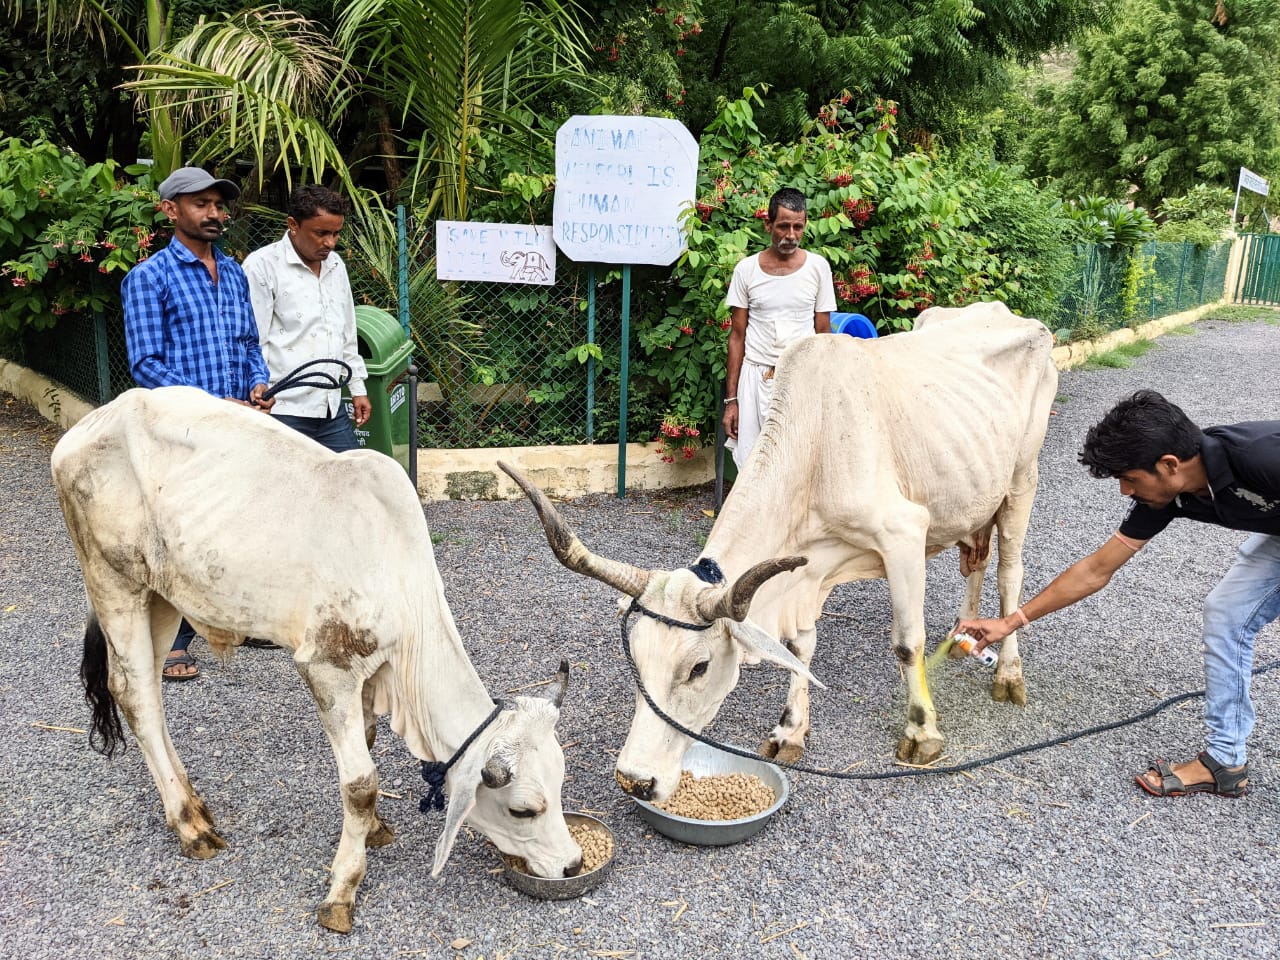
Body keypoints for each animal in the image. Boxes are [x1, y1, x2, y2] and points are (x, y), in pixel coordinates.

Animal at [51, 386, 581, 936]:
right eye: (523, 810)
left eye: (561, 783)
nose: (572, 864)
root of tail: (95, 420)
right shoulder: (328, 668)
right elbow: (361, 783)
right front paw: (343, 888)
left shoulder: (369, 675)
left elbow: (367, 744)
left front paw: (374, 829)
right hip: (114, 583)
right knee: (134, 694)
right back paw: (189, 826)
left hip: (162, 596)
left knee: (148, 692)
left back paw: (196, 804)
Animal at [504, 302, 1054, 803]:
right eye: (635, 657)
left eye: (699, 667)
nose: (634, 780)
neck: (815, 448)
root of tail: (1011, 315)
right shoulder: (803, 570)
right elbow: (798, 649)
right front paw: (790, 731)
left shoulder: (903, 533)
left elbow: (906, 642)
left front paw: (922, 734)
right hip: (973, 493)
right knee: (976, 560)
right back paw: (964, 633)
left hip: (1021, 480)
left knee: (1009, 572)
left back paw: (1008, 673)